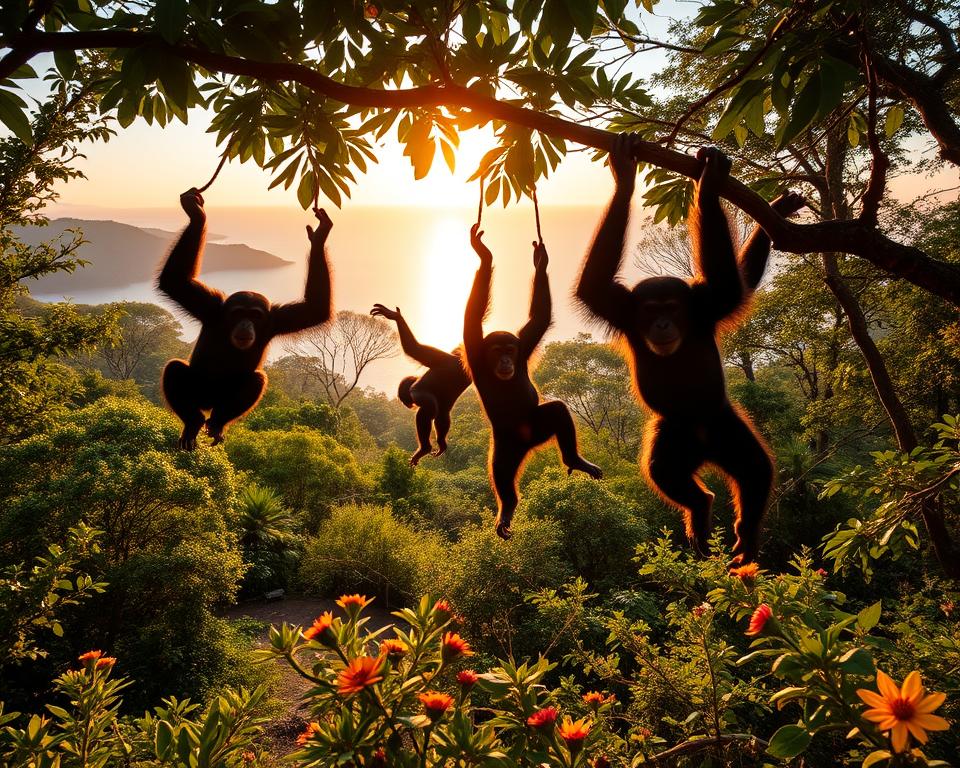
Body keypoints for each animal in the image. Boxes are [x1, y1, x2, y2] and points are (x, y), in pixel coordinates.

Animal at [158, 188, 333, 450]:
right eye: (239, 313)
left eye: (255, 315)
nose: (245, 324)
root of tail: (208, 406)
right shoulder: (209, 307)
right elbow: (175, 280)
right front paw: (196, 214)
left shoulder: (277, 320)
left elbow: (316, 308)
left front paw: (320, 236)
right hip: (198, 393)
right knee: (175, 369)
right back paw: (193, 422)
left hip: (222, 401)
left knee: (256, 379)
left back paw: (217, 423)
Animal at [369, 304, 471, 465]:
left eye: (404, 399)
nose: (406, 404)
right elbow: (441, 414)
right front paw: (442, 444)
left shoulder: (415, 393)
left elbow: (429, 409)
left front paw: (425, 448)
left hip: (444, 360)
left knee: (414, 348)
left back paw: (395, 317)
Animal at [464, 224, 603, 540]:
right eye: (497, 351)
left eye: (510, 350)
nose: (506, 361)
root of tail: (526, 446)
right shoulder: (474, 348)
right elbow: (472, 315)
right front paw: (483, 254)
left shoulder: (524, 343)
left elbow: (539, 316)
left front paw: (541, 261)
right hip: (504, 446)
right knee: (502, 474)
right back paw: (508, 508)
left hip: (539, 427)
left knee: (558, 411)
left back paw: (574, 460)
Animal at [576, 135, 805, 566]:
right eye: (651, 312)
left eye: (672, 309)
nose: (663, 324)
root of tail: (702, 447)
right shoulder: (618, 308)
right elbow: (593, 283)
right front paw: (624, 173)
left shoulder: (710, 303)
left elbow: (733, 281)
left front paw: (712, 181)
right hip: (674, 434)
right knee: (662, 472)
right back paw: (700, 507)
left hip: (722, 424)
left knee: (754, 468)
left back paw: (746, 536)